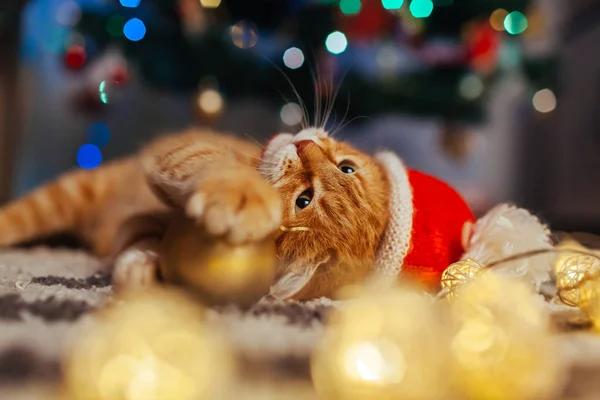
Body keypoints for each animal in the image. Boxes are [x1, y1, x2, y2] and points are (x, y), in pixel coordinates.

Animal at [0, 126, 396, 298]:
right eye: (347, 168)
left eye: (304, 199)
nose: (305, 144)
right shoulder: (185, 151)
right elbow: (214, 163)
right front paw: (241, 194)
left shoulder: (135, 228)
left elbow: (140, 242)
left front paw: (145, 269)